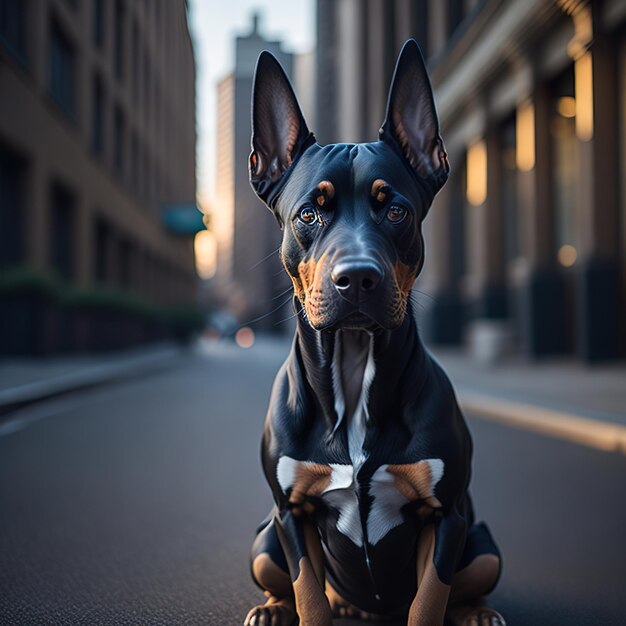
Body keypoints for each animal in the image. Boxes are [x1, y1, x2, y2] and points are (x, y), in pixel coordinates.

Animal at [243, 40, 502, 624]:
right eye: (309, 213)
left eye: (396, 210)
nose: (357, 277)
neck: (355, 363)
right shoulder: (290, 512)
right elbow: (308, 594)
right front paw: (298, 605)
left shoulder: (447, 514)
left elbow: (430, 599)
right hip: (262, 538)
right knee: (287, 579)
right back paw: (273, 608)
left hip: (484, 543)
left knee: (471, 583)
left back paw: (477, 611)